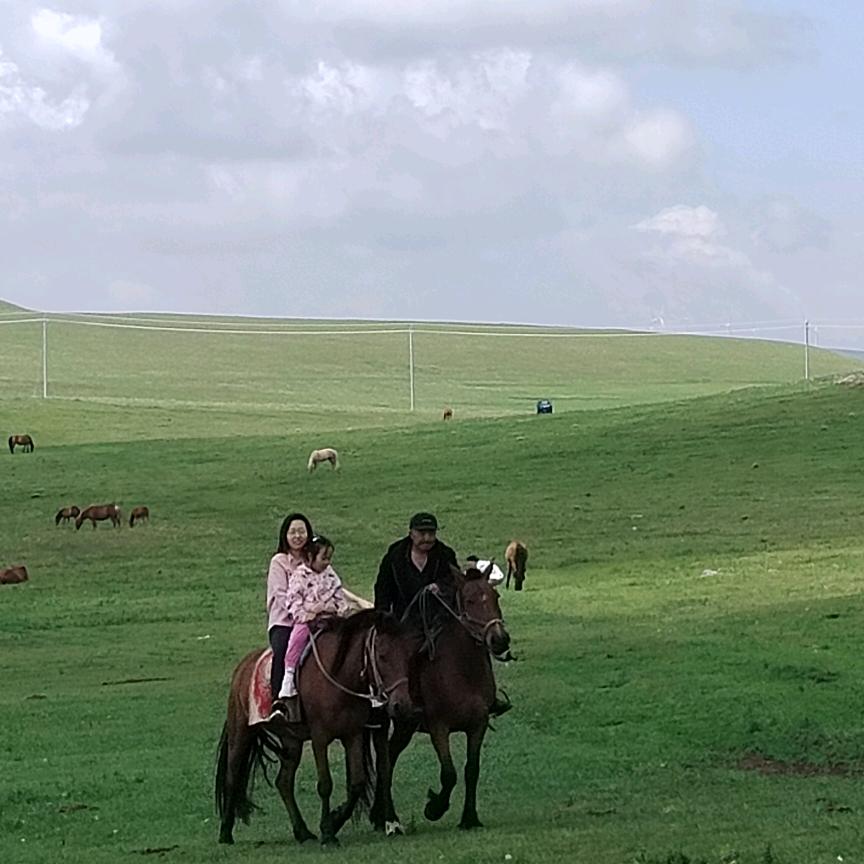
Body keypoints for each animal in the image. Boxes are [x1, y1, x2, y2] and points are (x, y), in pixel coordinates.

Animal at [215, 610, 418, 847]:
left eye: (408, 655)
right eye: (383, 656)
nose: (401, 705)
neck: (339, 676)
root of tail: (244, 667)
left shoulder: (353, 735)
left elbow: (357, 783)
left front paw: (334, 819)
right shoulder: (320, 738)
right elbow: (325, 784)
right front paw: (328, 833)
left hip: (291, 740)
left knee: (283, 782)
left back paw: (302, 832)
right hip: (241, 733)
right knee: (232, 777)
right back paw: (225, 832)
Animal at [371, 565, 512, 834]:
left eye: (496, 596)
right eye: (469, 600)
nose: (499, 639)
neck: (462, 671)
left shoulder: (477, 726)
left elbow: (471, 770)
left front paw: (469, 818)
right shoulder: (439, 728)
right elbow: (449, 774)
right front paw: (434, 808)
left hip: (405, 726)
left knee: (390, 757)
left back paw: (378, 815)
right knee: (386, 762)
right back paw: (385, 816)